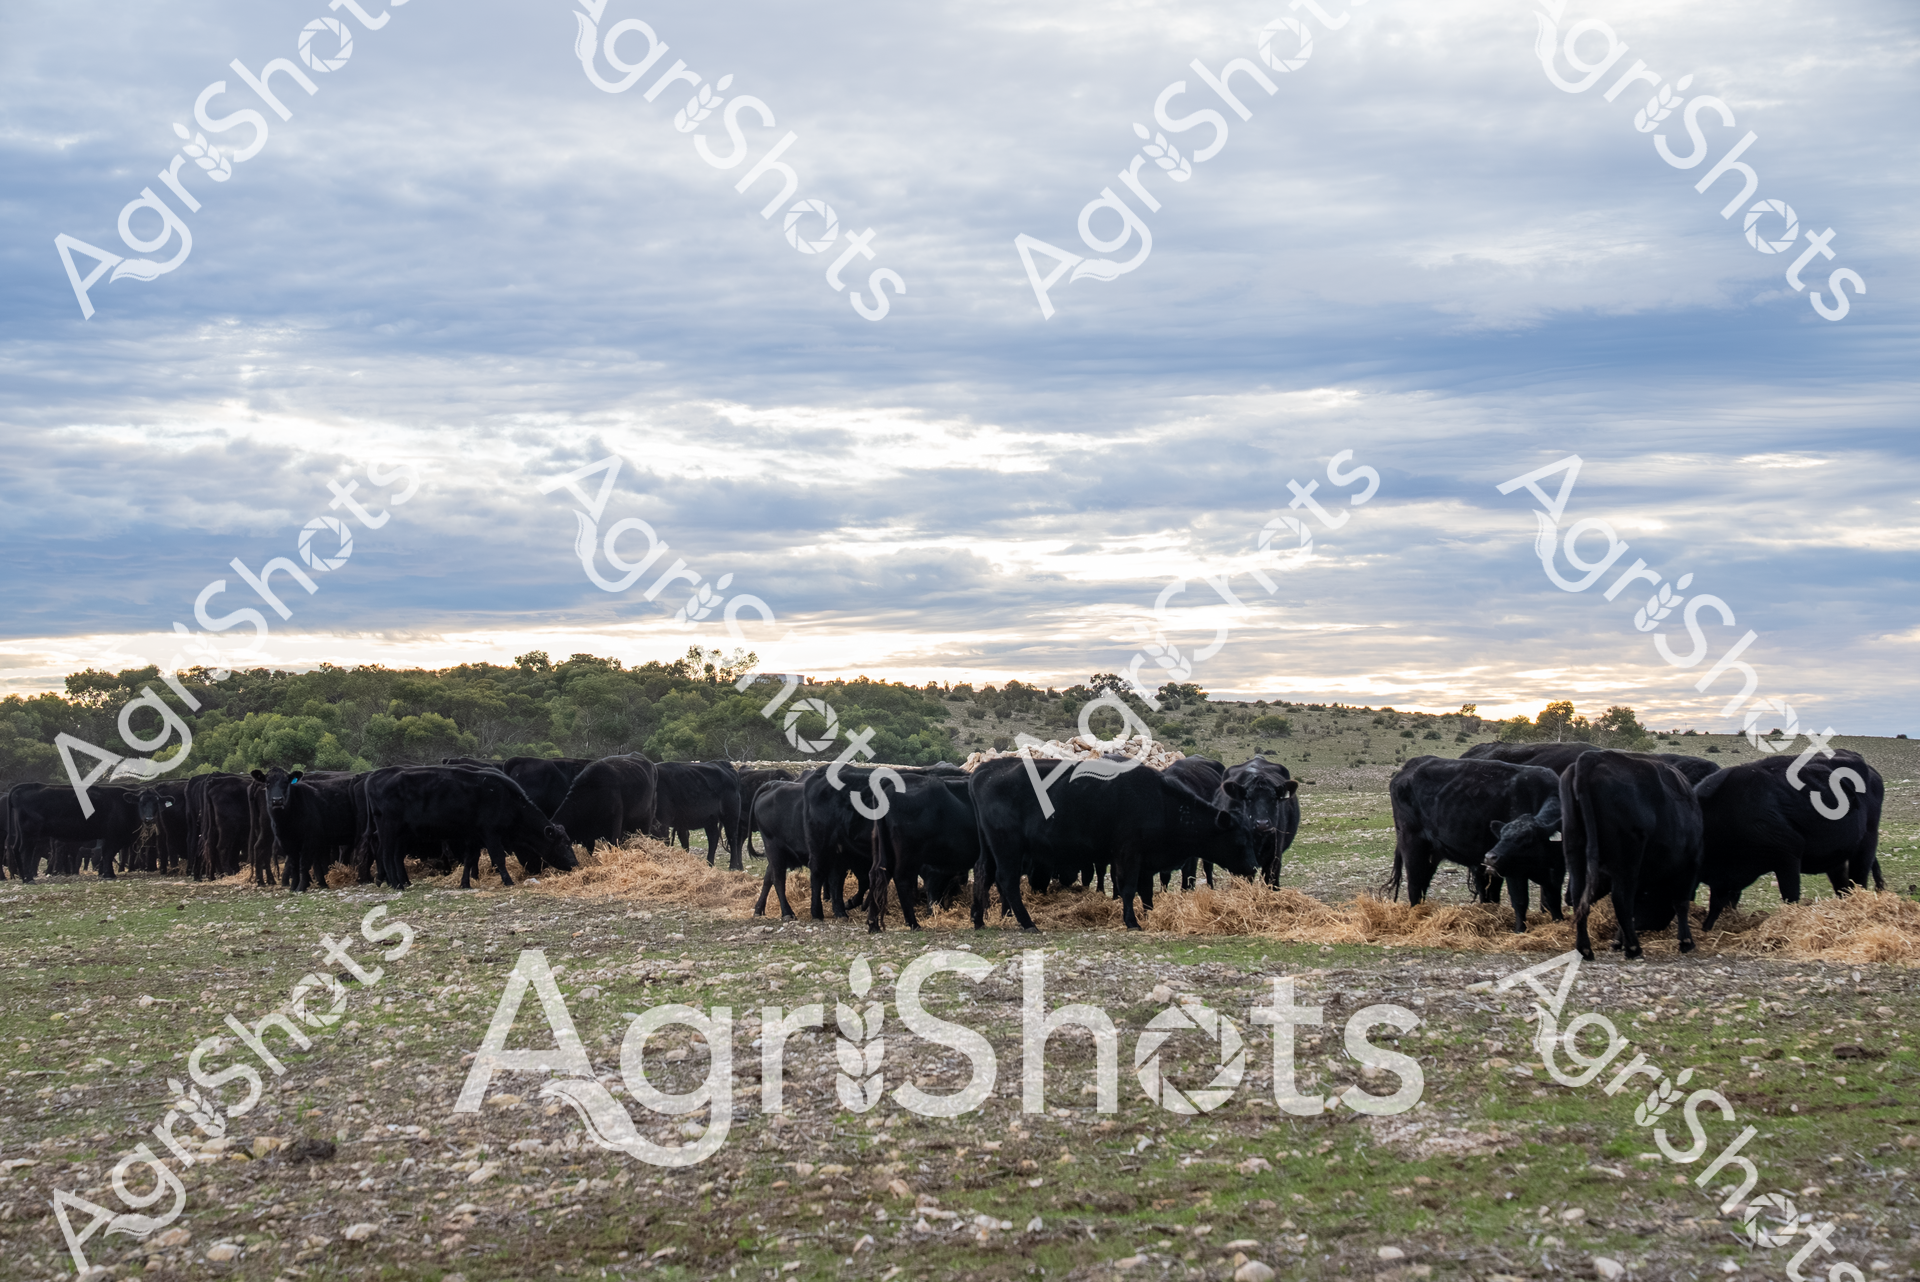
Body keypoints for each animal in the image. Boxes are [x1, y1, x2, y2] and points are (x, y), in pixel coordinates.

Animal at [364, 765, 577, 889]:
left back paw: (400, 881)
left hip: (399, 832)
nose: (575, 863)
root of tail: (374, 777)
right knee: (386, 854)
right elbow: (498, 858)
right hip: (389, 828)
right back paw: (396, 884)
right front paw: (508, 881)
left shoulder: (474, 836)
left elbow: (469, 860)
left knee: (393, 855)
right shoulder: (491, 834)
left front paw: (465, 883)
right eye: (564, 844)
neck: (507, 799)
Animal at [969, 756, 1263, 931]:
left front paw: (1148, 915)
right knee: (1006, 881)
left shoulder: (1145, 861)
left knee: (983, 874)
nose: (1254, 867)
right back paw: (1027, 922)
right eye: (1240, 840)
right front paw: (1132, 922)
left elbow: (1146, 892)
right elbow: (1129, 888)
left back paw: (978, 919)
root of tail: (986, 770)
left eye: (1251, 837)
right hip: (1008, 848)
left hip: (991, 849)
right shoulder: (1128, 854)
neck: (1161, 802)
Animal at [1389, 756, 1565, 930]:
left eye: (1527, 840)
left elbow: (1553, 900)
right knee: (1414, 884)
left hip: (1434, 852)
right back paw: (1416, 917)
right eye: (1503, 836)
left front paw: (1559, 922)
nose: (1491, 856)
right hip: (1412, 843)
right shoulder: (1514, 871)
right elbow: (1520, 902)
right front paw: (1520, 931)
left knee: (1423, 882)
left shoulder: (1556, 871)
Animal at [1561, 750, 1703, 960]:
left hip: (1576, 853)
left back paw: (1585, 948)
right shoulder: (1689, 864)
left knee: (1581, 897)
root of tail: (1592, 757)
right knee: (1621, 899)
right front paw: (1686, 941)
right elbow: (1681, 903)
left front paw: (1618, 941)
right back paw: (1634, 948)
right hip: (1627, 858)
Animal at [1695, 749, 1884, 929]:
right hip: (1837, 857)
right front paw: (1707, 928)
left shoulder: (1788, 856)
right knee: (1843, 887)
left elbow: (1790, 897)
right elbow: (1717, 904)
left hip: (1866, 845)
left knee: (1859, 881)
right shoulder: (1724, 878)